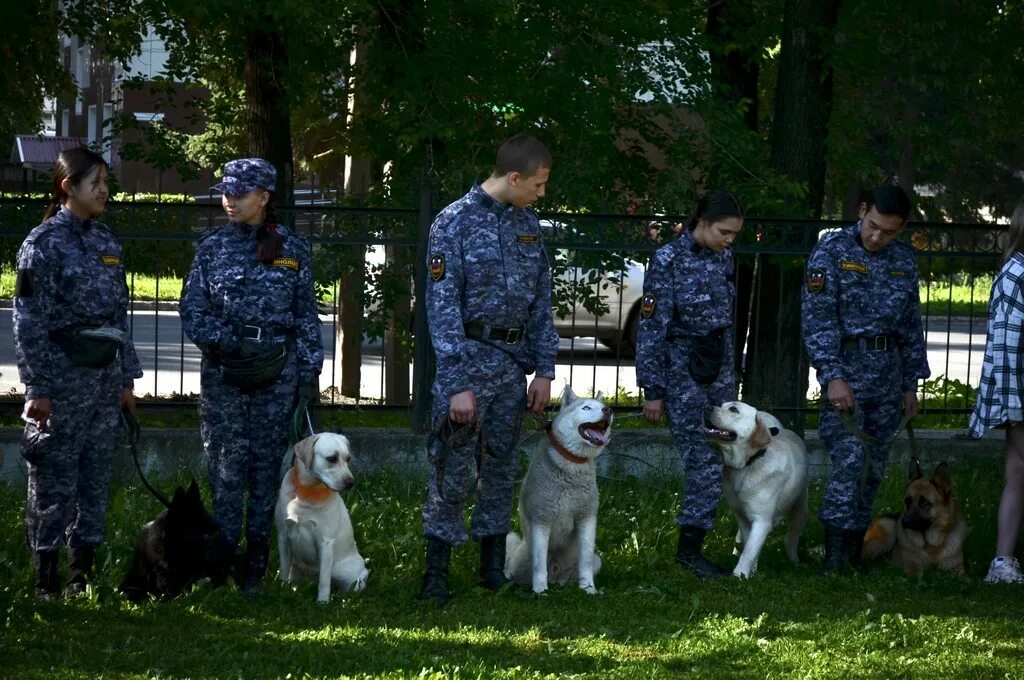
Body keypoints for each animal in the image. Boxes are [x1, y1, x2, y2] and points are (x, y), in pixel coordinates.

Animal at [276, 432, 368, 602]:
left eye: (348, 459)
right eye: (332, 458)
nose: (350, 483)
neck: (307, 492)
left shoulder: (325, 542)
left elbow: (324, 580)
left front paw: (322, 602)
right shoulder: (283, 536)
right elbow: (284, 568)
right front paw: (281, 590)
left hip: (351, 574)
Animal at [501, 387, 606, 593]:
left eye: (604, 406)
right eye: (586, 407)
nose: (609, 411)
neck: (572, 466)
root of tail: (556, 574)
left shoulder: (587, 518)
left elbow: (586, 561)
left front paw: (589, 589)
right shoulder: (542, 520)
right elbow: (539, 566)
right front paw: (540, 591)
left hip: (596, 561)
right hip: (521, 558)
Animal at [704, 401, 806, 577]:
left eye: (734, 409)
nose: (705, 406)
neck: (747, 464)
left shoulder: (761, 520)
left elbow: (749, 551)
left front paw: (739, 576)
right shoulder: (742, 517)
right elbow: (749, 547)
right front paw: (751, 573)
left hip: (800, 508)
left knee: (791, 539)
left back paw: (794, 562)